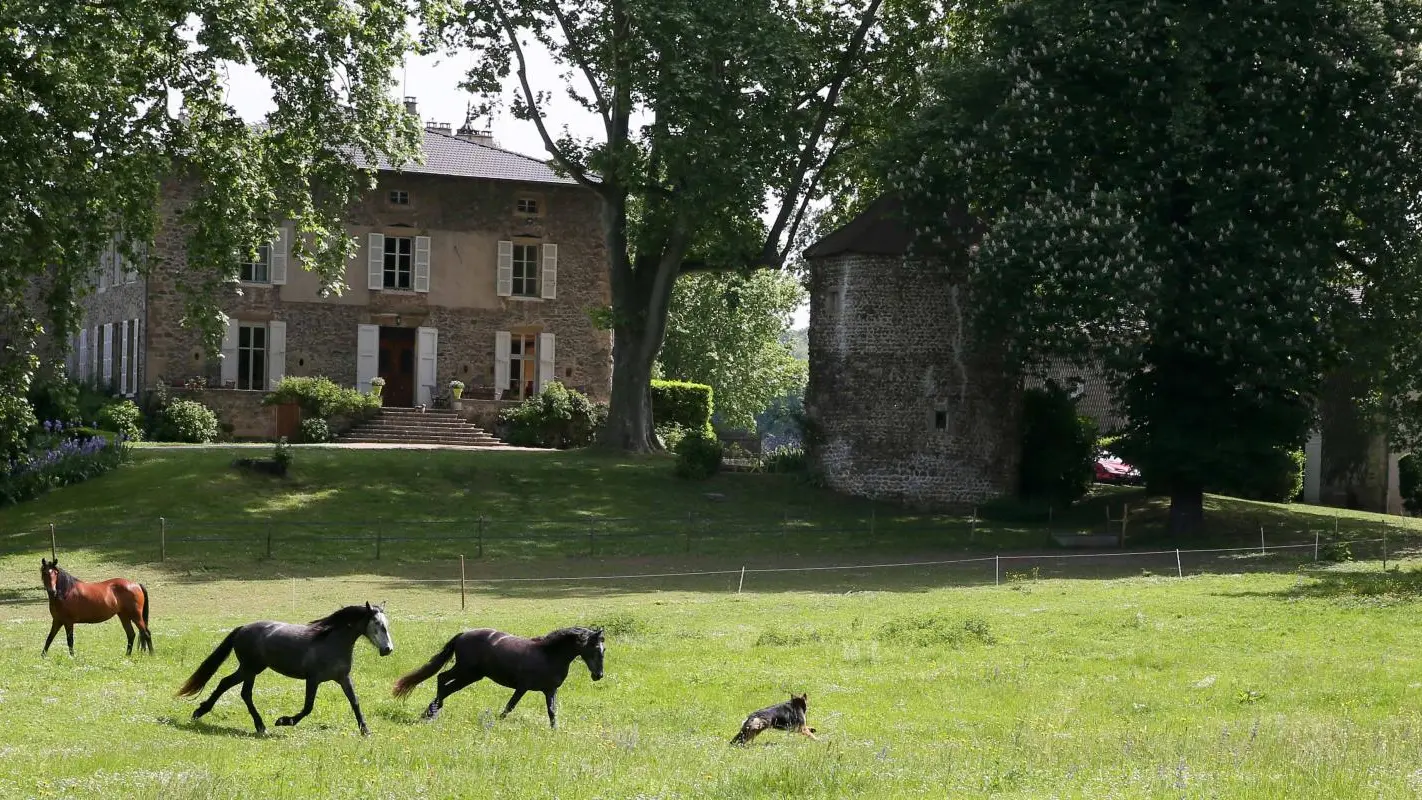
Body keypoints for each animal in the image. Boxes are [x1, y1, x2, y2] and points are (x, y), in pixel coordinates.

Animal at [180, 602, 401, 738]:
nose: (388, 649)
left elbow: (355, 702)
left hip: (250, 668)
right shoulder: (313, 679)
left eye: (386, 624)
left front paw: (366, 731)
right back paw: (261, 726)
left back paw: (200, 711)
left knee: (225, 683)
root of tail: (242, 629)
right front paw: (283, 721)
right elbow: (308, 707)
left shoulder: (343, 678)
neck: (331, 642)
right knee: (245, 693)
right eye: (376, 623)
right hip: (250, 669)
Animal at [395, 625, 605, 733]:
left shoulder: (550, 690)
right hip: (466, 671)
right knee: (442, 679)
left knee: (447, 686)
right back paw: (433, 711)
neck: (548, 655)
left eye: (604, 649)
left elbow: (552, 711)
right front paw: (496, 722)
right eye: (595, 649)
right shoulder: (523, 686)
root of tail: (463, 634)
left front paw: (555, 732)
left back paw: (430, 712)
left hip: (471, 675)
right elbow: (509, 707)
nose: (598, 676)